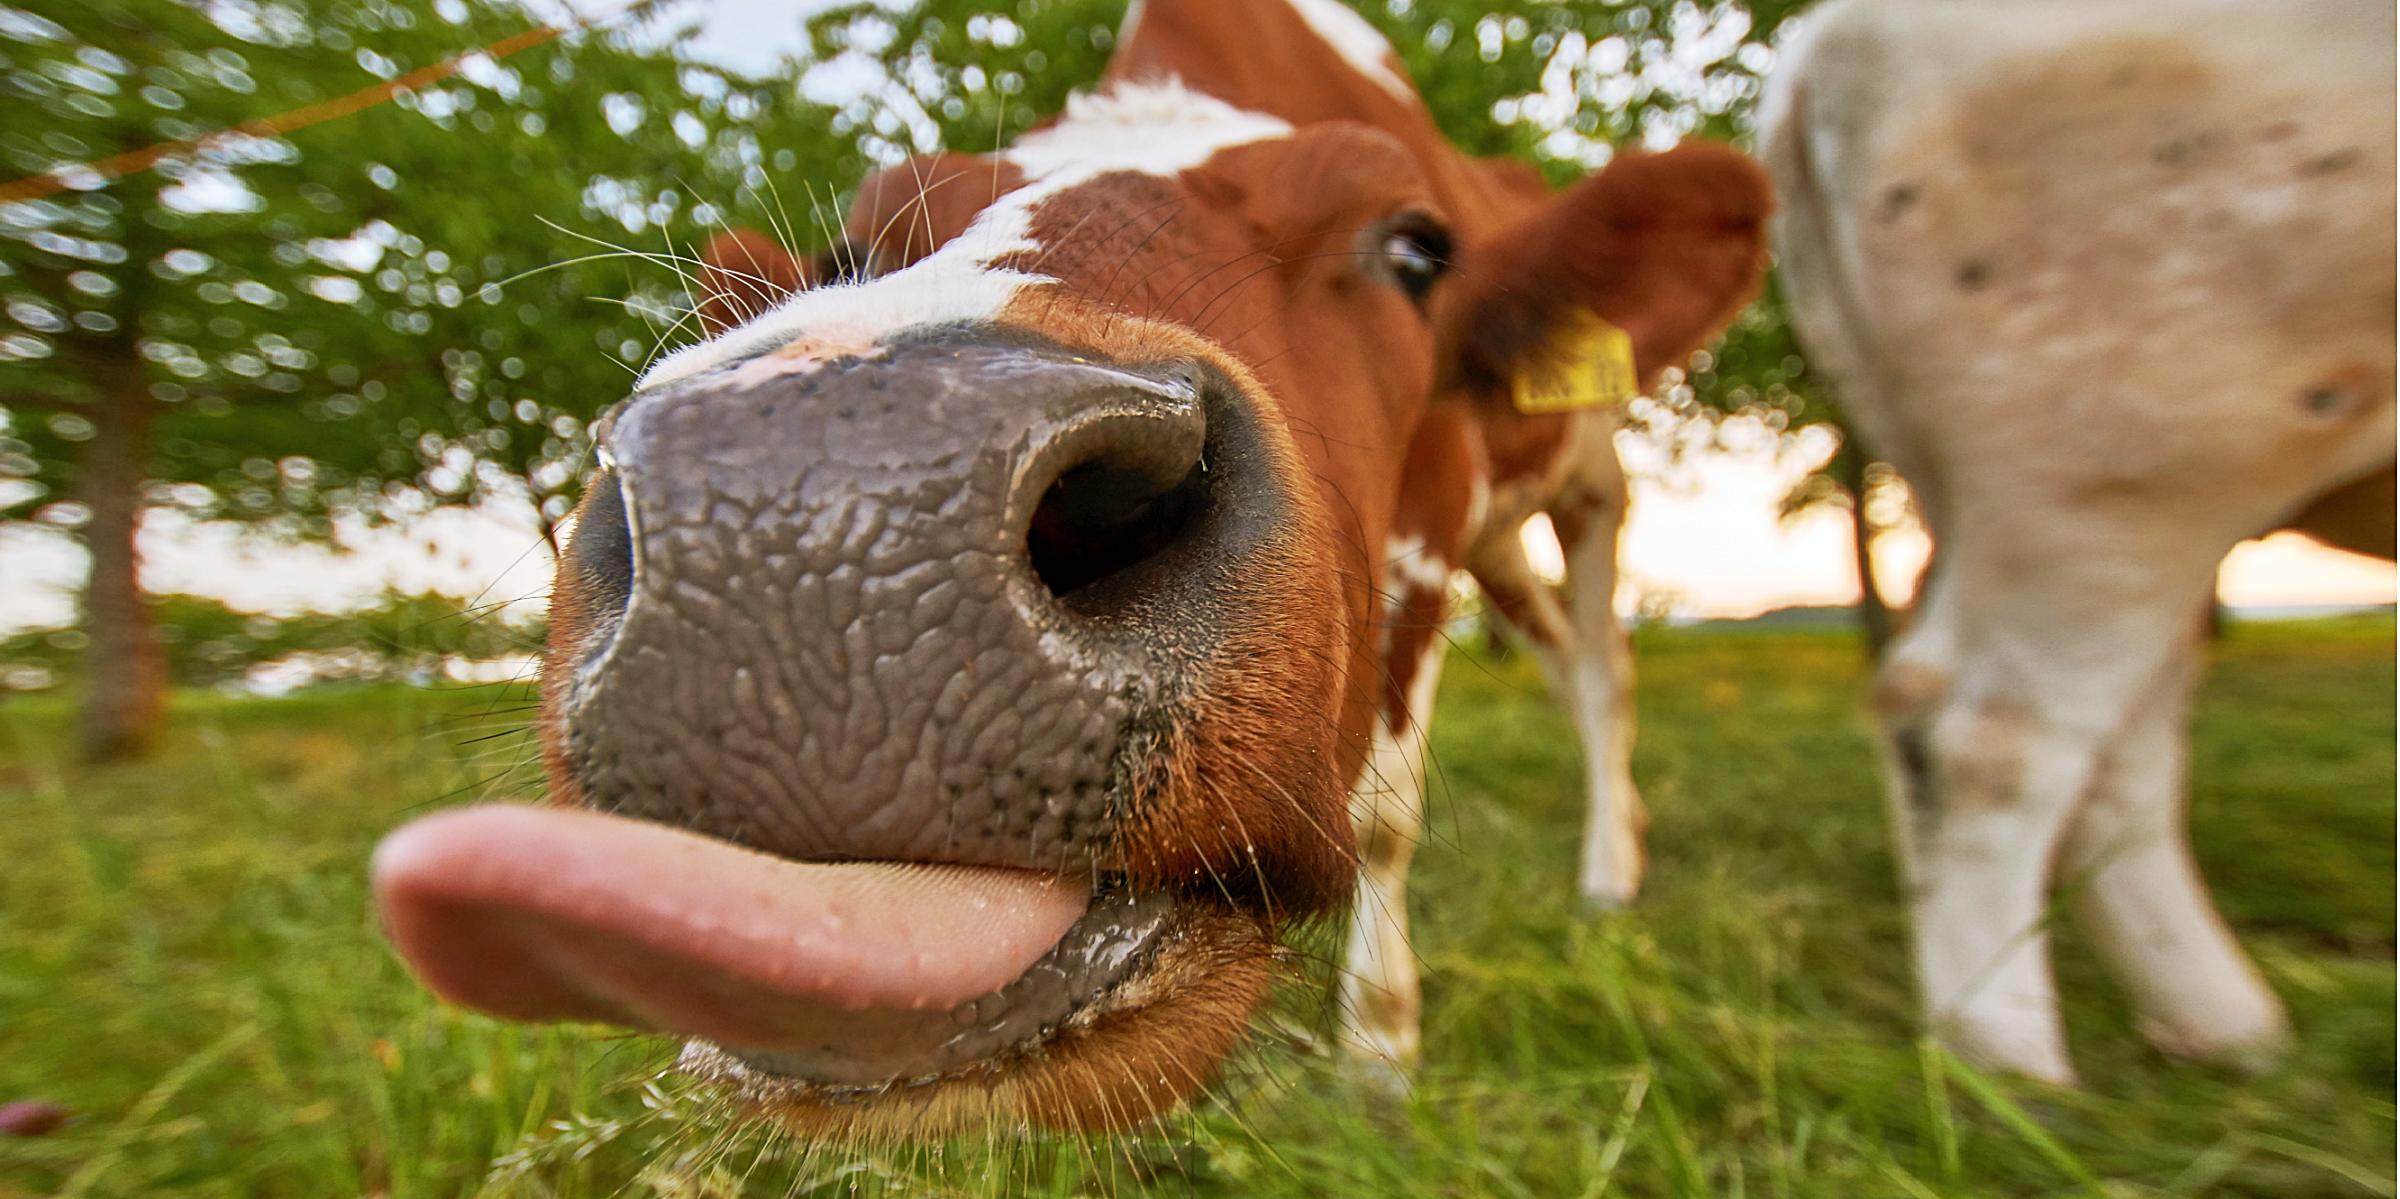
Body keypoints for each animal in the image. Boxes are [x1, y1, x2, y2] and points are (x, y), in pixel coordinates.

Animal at [369, 0, 1766, 1131]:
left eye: (1417, 249)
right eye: (849, 254)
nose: (827, 516)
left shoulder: (1433, 511)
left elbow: (1381, 814)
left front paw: (1380, 1057)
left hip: (1586, 482)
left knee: (1603, 663)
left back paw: (1610, 871)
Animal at [1756, 0, 2390, 1088]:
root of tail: (1817, 50)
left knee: (2112, 760)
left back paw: (2229, 1036)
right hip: (2123, 440)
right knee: (1990, 734)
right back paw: (2015, 1070)